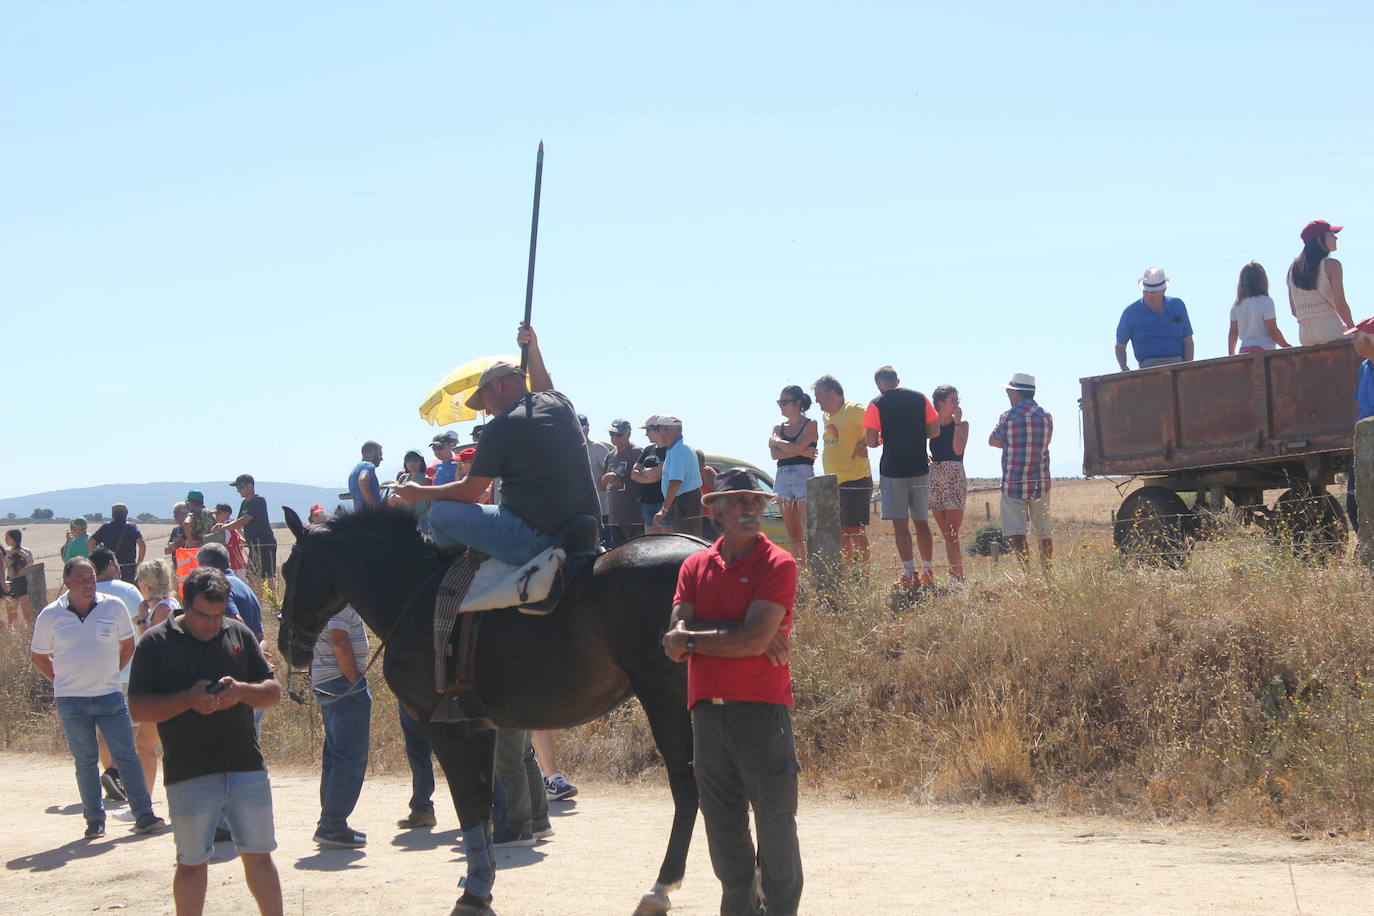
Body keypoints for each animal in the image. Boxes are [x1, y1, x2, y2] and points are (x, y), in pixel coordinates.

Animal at [283, 505, 703, 916]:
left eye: (289, 569)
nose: (288, 644)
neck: (415, 593)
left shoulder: (442, 727)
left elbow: (467, 805)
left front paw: (473, 893)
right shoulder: (479, 726)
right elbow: (483, 804)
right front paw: (481, 883)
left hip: (666, 703)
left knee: (687, 790)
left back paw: (661, 888)